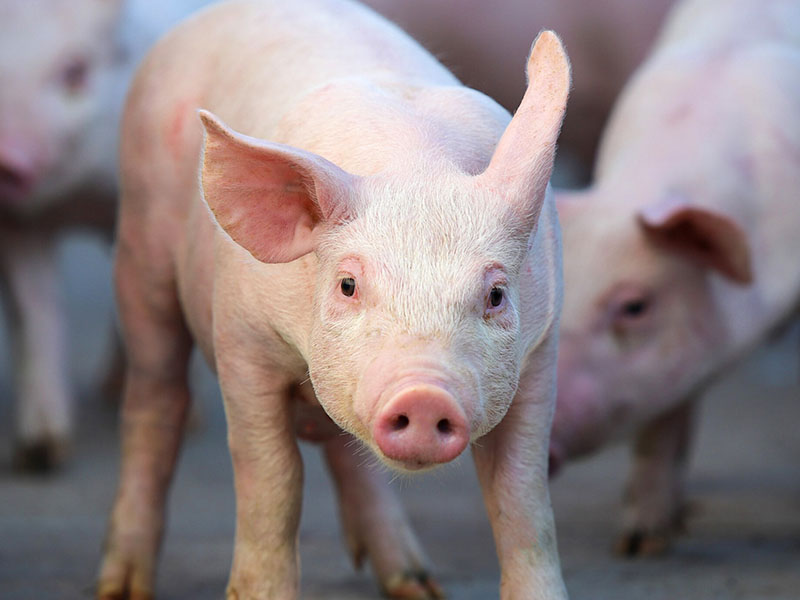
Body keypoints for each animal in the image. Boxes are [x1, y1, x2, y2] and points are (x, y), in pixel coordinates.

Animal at [0, 0, 212, 472]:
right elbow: (34, 311)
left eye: (75, 70)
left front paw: (189, 422)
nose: (7, 156)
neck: (76, 201)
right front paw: (41, 454)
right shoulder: (19, 223)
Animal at [97, 1, 572, 600]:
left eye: (495, 294)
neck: (414, 167)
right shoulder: (241, 341)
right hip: (139, 255)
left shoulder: (542, 349)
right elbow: (272, 483)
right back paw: (120, 586)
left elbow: (522, 500)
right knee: (155, 402)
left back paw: (415, 584)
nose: (424, 396)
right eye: (348, 285)